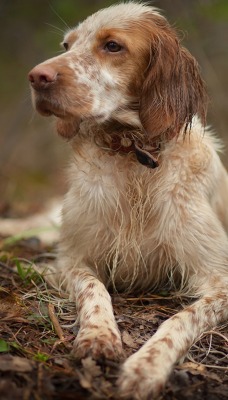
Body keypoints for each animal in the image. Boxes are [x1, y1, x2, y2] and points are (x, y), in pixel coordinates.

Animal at [28, 3, 228, 400]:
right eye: (67, 45)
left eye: (113, 46)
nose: (36, 76)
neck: (132, 153)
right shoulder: (72, 258)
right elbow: (94, 289)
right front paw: (98, 336)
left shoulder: (220, 280)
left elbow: (180, 318)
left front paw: (146, 366)